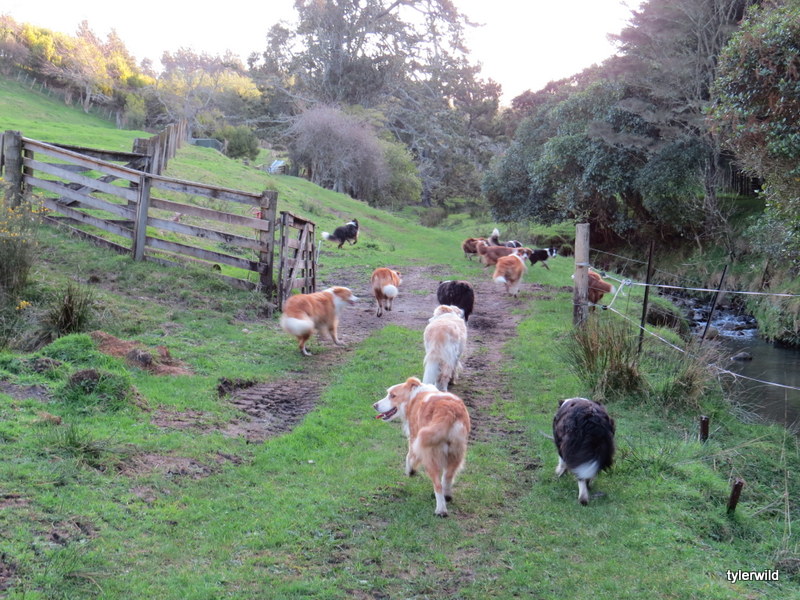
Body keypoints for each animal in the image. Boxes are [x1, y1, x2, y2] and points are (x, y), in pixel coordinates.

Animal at [373, 376, 471, 517]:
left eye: (392, 395)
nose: (374, 405)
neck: (413, 396)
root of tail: (448, 411)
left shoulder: (414, 437)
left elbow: (409, 456)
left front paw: (410, 471)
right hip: (456, 453)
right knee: (447, 478)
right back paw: (447, 496)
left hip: (430, 456)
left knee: (437, 485)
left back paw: (441, 510)